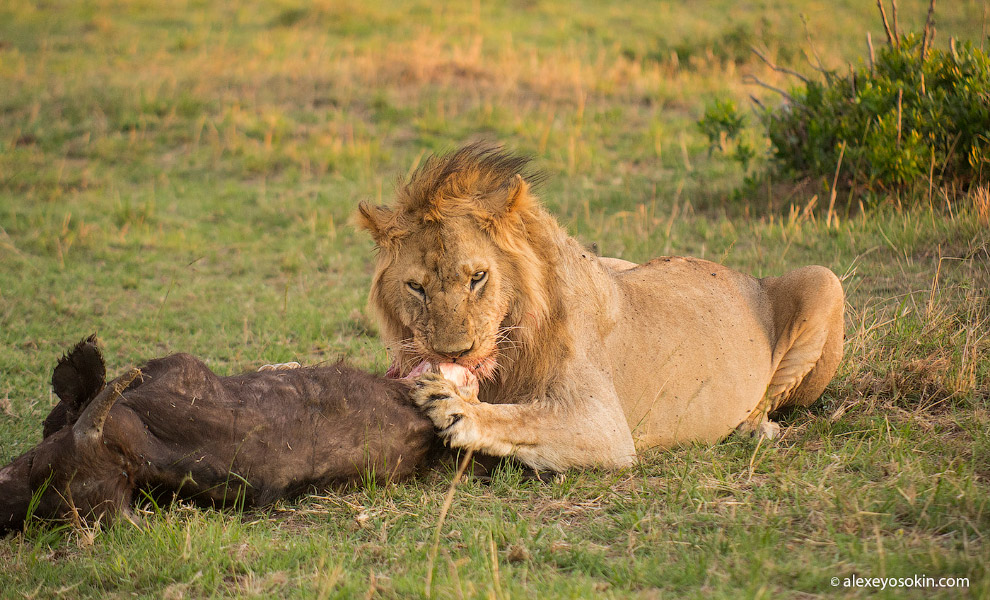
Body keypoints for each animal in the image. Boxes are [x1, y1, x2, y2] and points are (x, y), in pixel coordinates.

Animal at [356, 143, 844, 472]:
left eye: (478, 277)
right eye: (416, 287)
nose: (453, 354)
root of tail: (738, 273)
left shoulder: (605, 425)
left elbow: (525, 417)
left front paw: (458, 407)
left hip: (824, 279)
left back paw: (755, 428)